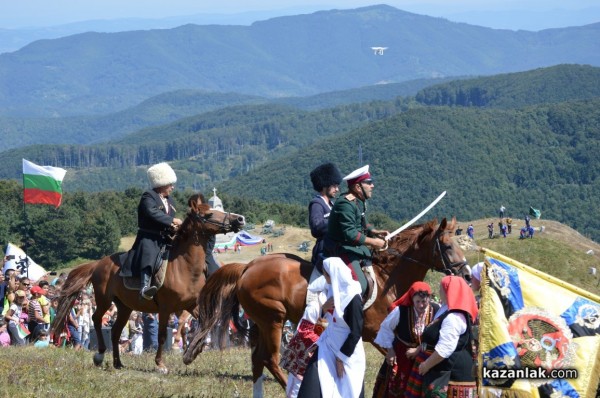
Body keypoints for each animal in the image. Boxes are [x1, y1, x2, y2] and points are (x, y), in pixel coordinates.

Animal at [50, 195, 245, 374]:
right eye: (209, 214)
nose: (239, 219)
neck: (185, 266)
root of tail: (98, 264)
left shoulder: (191, 305)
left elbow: (206, 325)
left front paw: (191, 353)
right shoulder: (166, 308)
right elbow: (162, 336)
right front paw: (161, 364)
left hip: (125, 307)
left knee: (115, 331)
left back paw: (118, 363)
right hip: (104, 299)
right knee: (96, 319)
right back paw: (99, 355)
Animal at [183, 218, 468, 394]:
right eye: (447, 246)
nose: (465, 274)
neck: (387, 276)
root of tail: (247, 267)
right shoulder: (376, 332)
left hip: (261, 323)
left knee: (258, 360)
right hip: (273, 320)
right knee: (271, 358)